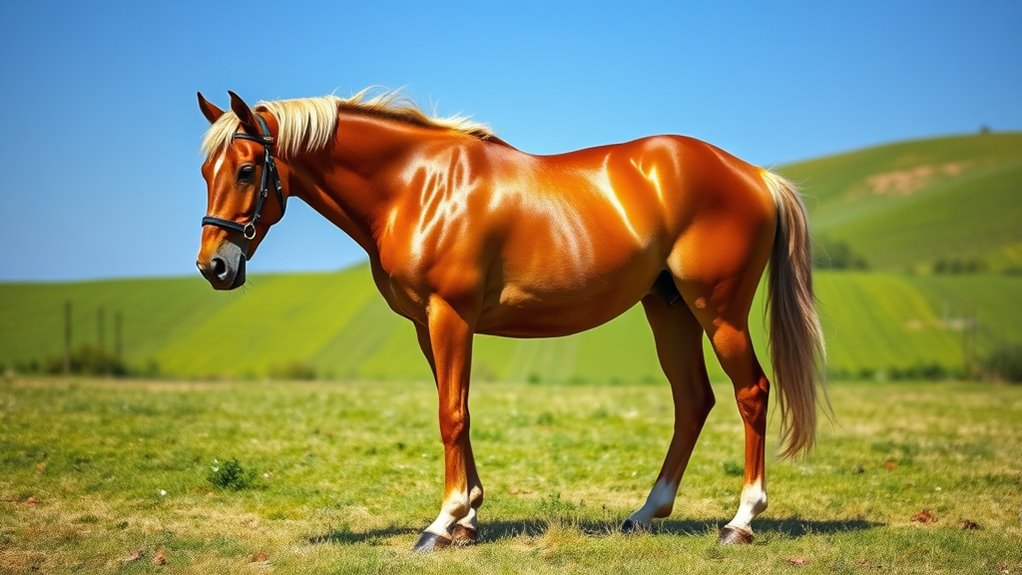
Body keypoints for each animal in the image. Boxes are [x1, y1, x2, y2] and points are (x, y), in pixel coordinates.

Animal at [194, 89, 825, 551]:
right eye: (205, 169)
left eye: (247, 170)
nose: (213, 266)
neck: (416, 186)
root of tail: (755, 174)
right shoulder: (427, 325)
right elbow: (458, 410)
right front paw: (468, 520)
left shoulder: (450, 316)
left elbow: (451, 414)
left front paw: (442, 522)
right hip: (669, 309)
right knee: (693, 400)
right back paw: (646, 513)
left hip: (718, 312)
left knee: (751, 392)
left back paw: (740, 521)